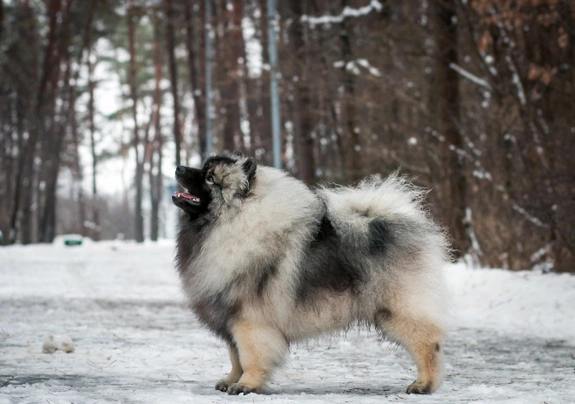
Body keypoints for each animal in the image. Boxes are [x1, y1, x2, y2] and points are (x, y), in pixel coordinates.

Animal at [173, 153, 452, 396]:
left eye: (210, 178)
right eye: (203, 168)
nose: (178, 167)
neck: (233, 221)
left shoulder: (249, 321)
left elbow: (250, 357)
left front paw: (245, 385)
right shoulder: (229, 317)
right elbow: (235, 357)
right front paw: (231, 380)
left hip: (398, 310)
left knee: (428, 345)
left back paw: (423, 385)